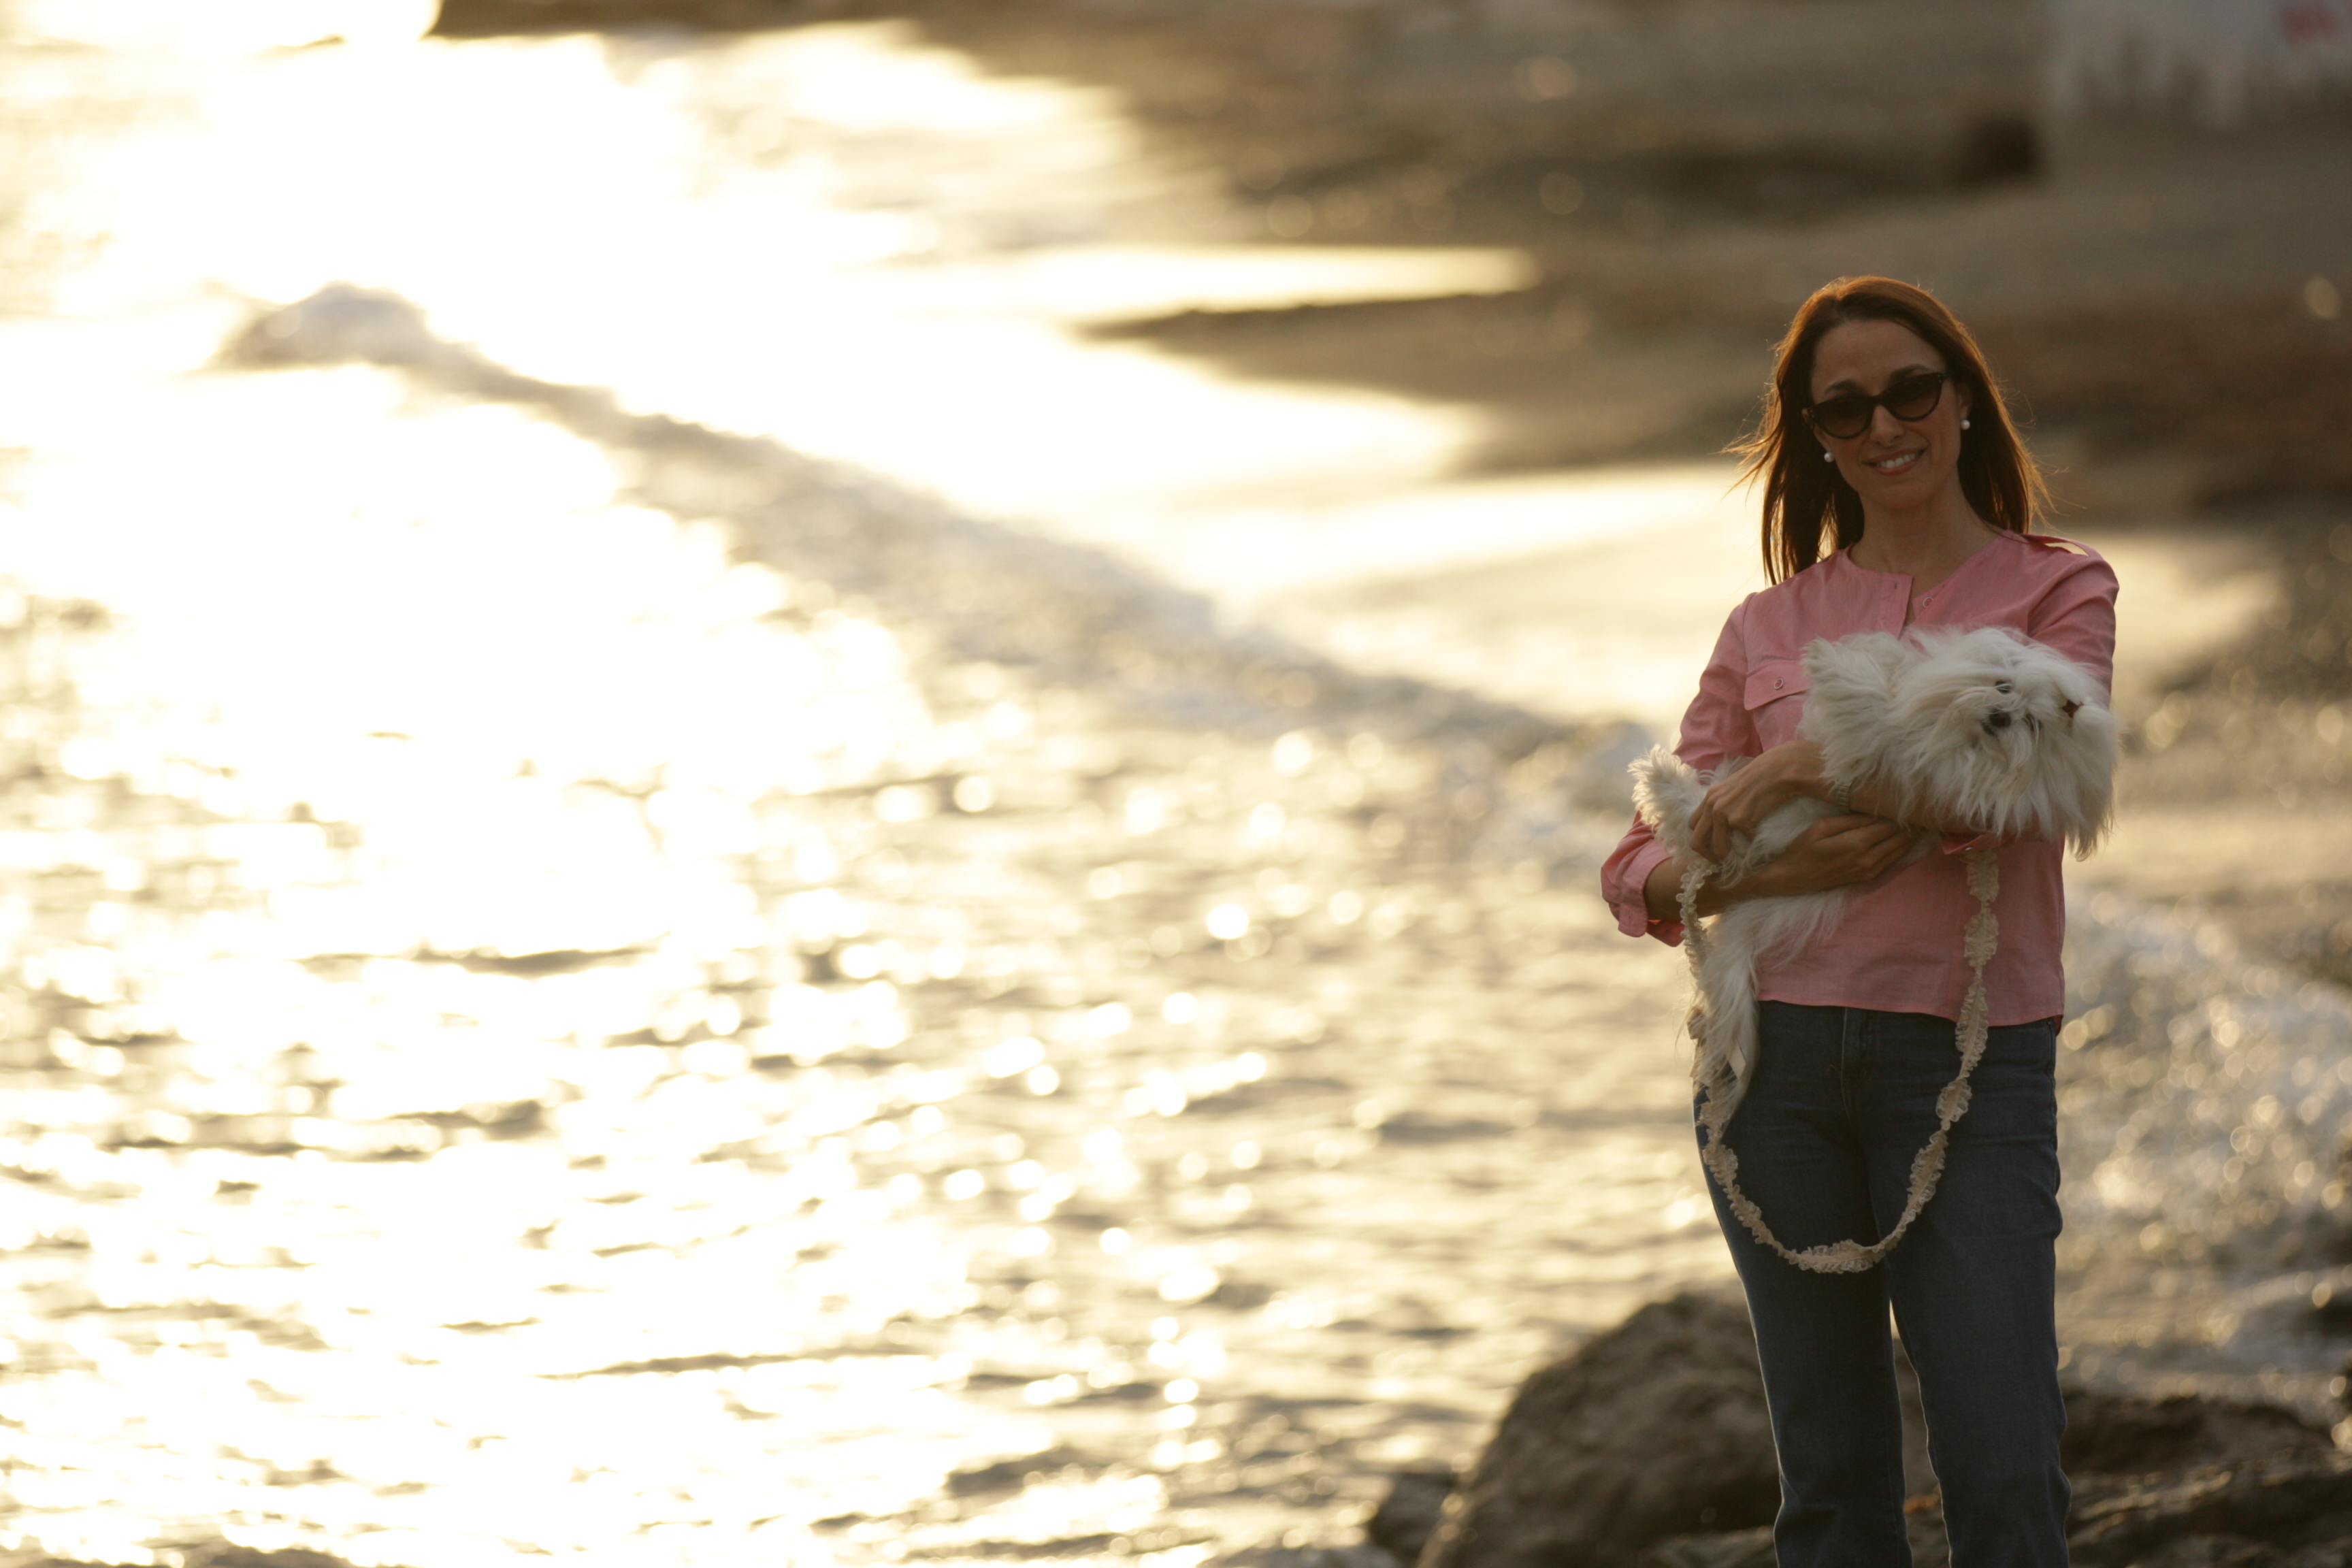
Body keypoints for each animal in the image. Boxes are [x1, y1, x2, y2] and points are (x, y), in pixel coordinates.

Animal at [1637, 625, 2117, 1279]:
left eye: (2032, 723)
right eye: (2002, 687)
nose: (1997, 716)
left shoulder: (1940, 774)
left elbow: (1884, 727)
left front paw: (1836, 675)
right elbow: (1888, 688)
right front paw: (1852, 665)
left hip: (1769, 829)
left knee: (1703, 833)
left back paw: (1662, 784)